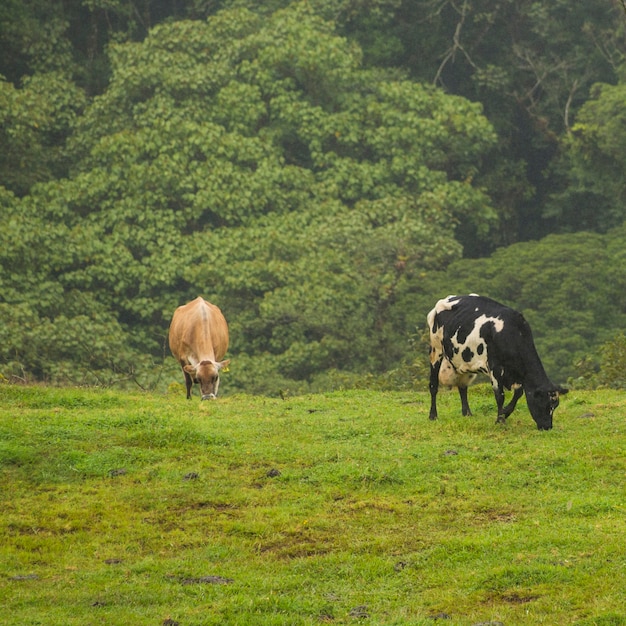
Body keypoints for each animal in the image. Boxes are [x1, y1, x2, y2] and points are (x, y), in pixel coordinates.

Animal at [424, 292, 564, 428]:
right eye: (545, 403)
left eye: (555, 405)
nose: (547, 426)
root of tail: (445, 300)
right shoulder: (495, 367)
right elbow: (500, 395)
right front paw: (500, 420)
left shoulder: (515, 372)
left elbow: (518, 392)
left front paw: (506, 412)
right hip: (436, 349)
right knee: (433, 385)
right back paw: (433, 415)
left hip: (463, 360)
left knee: (463, 386)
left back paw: (467, 413)